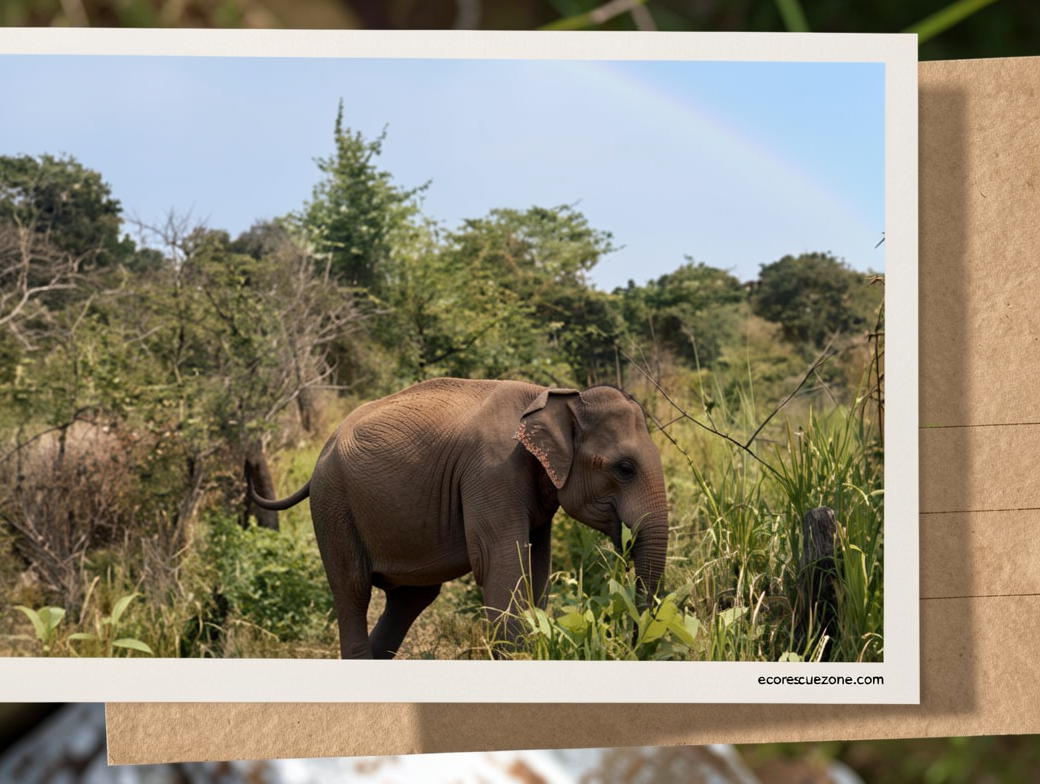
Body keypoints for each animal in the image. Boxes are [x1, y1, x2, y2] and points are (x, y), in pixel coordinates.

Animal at [246, 377, 670, 659]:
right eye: (625, 468)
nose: (630, 642)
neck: (558, 395)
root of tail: (323, 449)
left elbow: (536, 565)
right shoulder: (491, 473)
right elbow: (500, 563)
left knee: (411, 596)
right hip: (333, 504)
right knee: (353, 589)